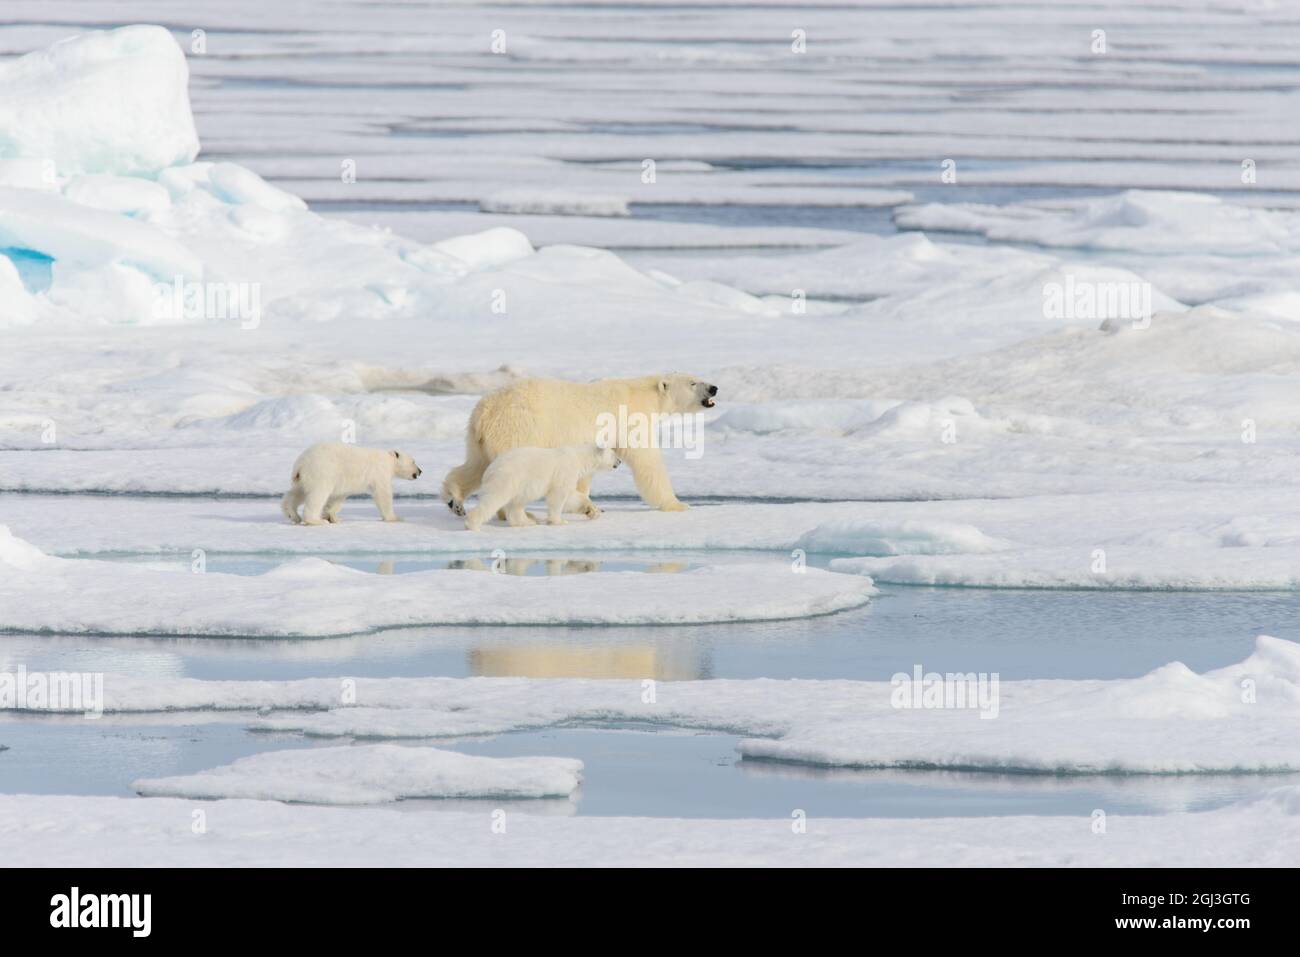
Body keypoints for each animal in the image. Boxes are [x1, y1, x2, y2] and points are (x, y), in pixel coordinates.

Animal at [280, 442, 422, 525]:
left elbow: (338, 497)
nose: (420, 471)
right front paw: (395, 518)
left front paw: (334, 518)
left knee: (297, 493)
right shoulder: (380, 472)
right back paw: (316, 520)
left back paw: (293, 515)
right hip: (322, 471)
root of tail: (300, 464)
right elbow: (383, 494)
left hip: (303, 478)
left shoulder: (343, 482)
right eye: (413, 461)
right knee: (317, 495)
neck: (389, 460)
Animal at [443, 373, 717, 517]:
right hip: (519, 428)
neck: (642, 394)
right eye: (693, 382)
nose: (714, 388)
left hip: (480, 437)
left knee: (476, 465)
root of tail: (485, 412)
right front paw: (678, 504)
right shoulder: (629, 421)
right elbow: (647, 463)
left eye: (699, 378)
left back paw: (455, 500)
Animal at [465, 444, 620, 531]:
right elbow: (558, 496)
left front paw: (593, 510)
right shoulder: (565, 471)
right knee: (494, 499)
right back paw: (472, 524)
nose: (619, 461)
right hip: (507, 478)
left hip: (519, 484)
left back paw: (527, 522)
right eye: (613, 454)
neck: (578, 457)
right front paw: (560, 521)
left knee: (516, 504)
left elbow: (572, 496)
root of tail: (490, 469)